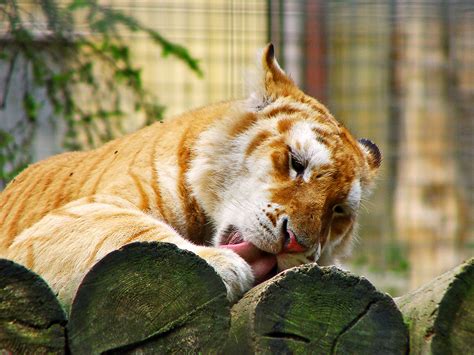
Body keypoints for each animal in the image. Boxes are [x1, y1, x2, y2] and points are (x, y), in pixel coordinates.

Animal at [0, 45, 380, 308]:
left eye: (338, 210)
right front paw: (221, 265)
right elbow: (132, 231)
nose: (296, 243)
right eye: (297, 163)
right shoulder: (71, 218)